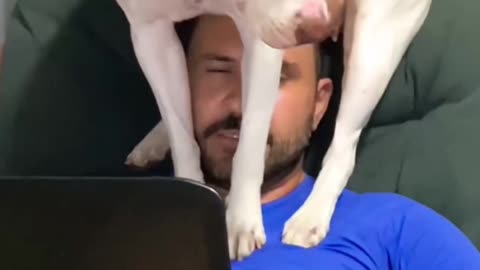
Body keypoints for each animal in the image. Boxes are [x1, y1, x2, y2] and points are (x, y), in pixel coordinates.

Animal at [115, 0, 432, 260]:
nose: (316, 22)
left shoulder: (262, 42)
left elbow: (251, 140)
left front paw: (240, 221)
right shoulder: (149, 32)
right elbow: (181, 132)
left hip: (372, 47)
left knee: (343, 146)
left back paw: (310, 217)